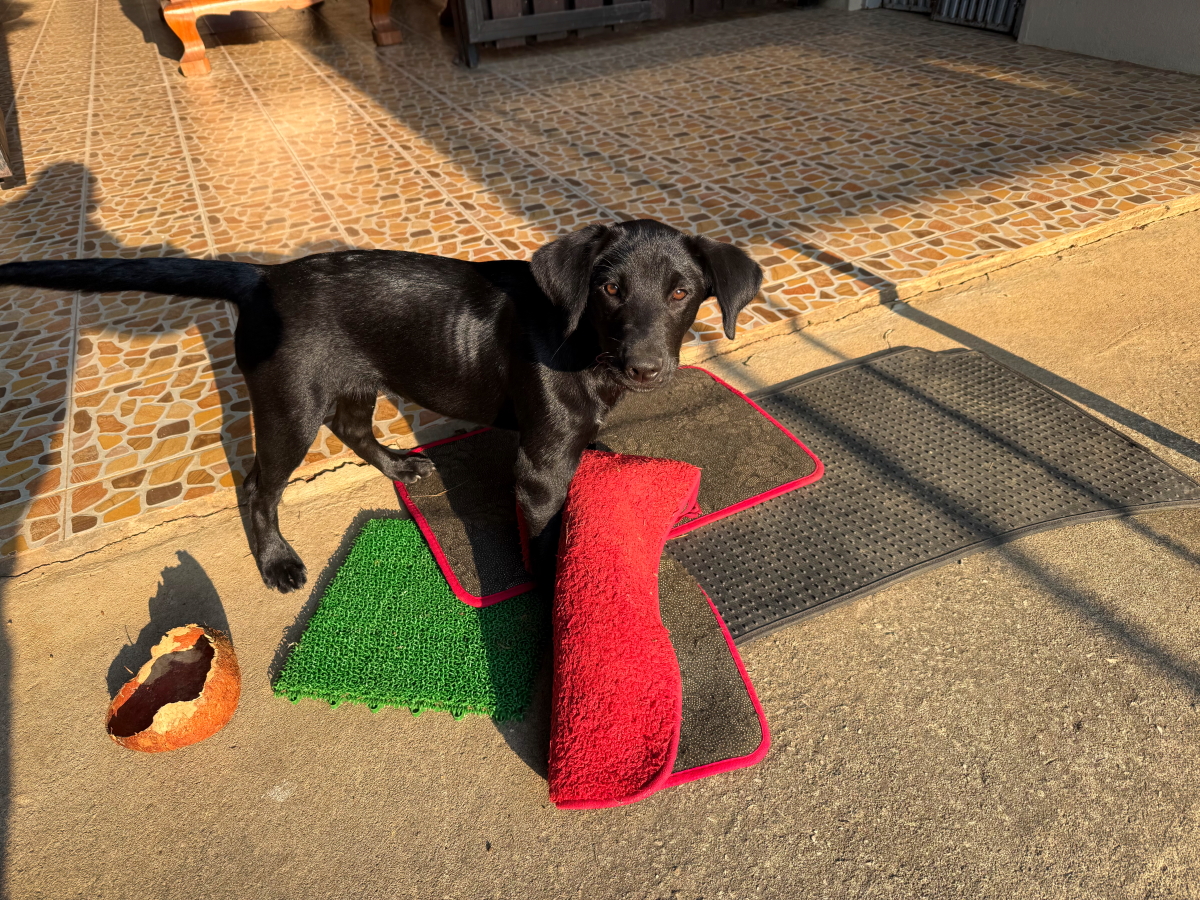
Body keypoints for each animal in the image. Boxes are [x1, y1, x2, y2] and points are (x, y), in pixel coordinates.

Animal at [0, 219, 762, 592]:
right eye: (608, 288)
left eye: (680, 292)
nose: (646, 368)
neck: (582, 344)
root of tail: (262, 279)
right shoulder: (538, 471)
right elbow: (543, 537)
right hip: (290, 405)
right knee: (256, 483)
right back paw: (276, 560)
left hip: (356, 382)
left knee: (352, 427)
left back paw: (399, 466)